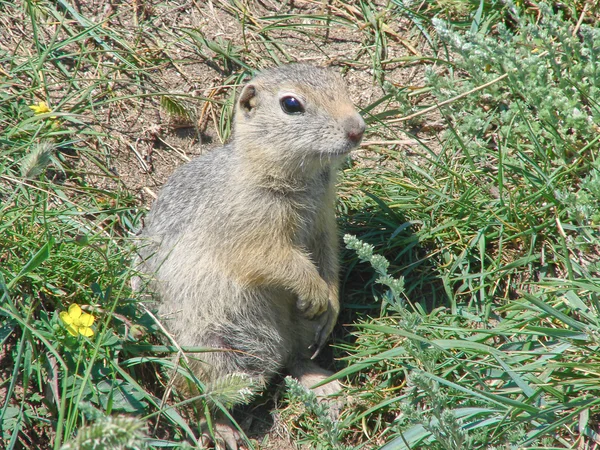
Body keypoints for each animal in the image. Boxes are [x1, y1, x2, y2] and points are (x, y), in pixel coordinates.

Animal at [139, 62, 366, 446]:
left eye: (341, 83)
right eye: (291, 104)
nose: (357, 129)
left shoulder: (323, 222)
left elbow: (329, 256)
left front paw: (331, 302)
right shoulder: (250, 229)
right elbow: (274, 260)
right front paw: (314, 289)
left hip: (292, 332)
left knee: (294, 359)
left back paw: (325, 385)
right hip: (211, 350)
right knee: (199, 398)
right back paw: (222, 430)